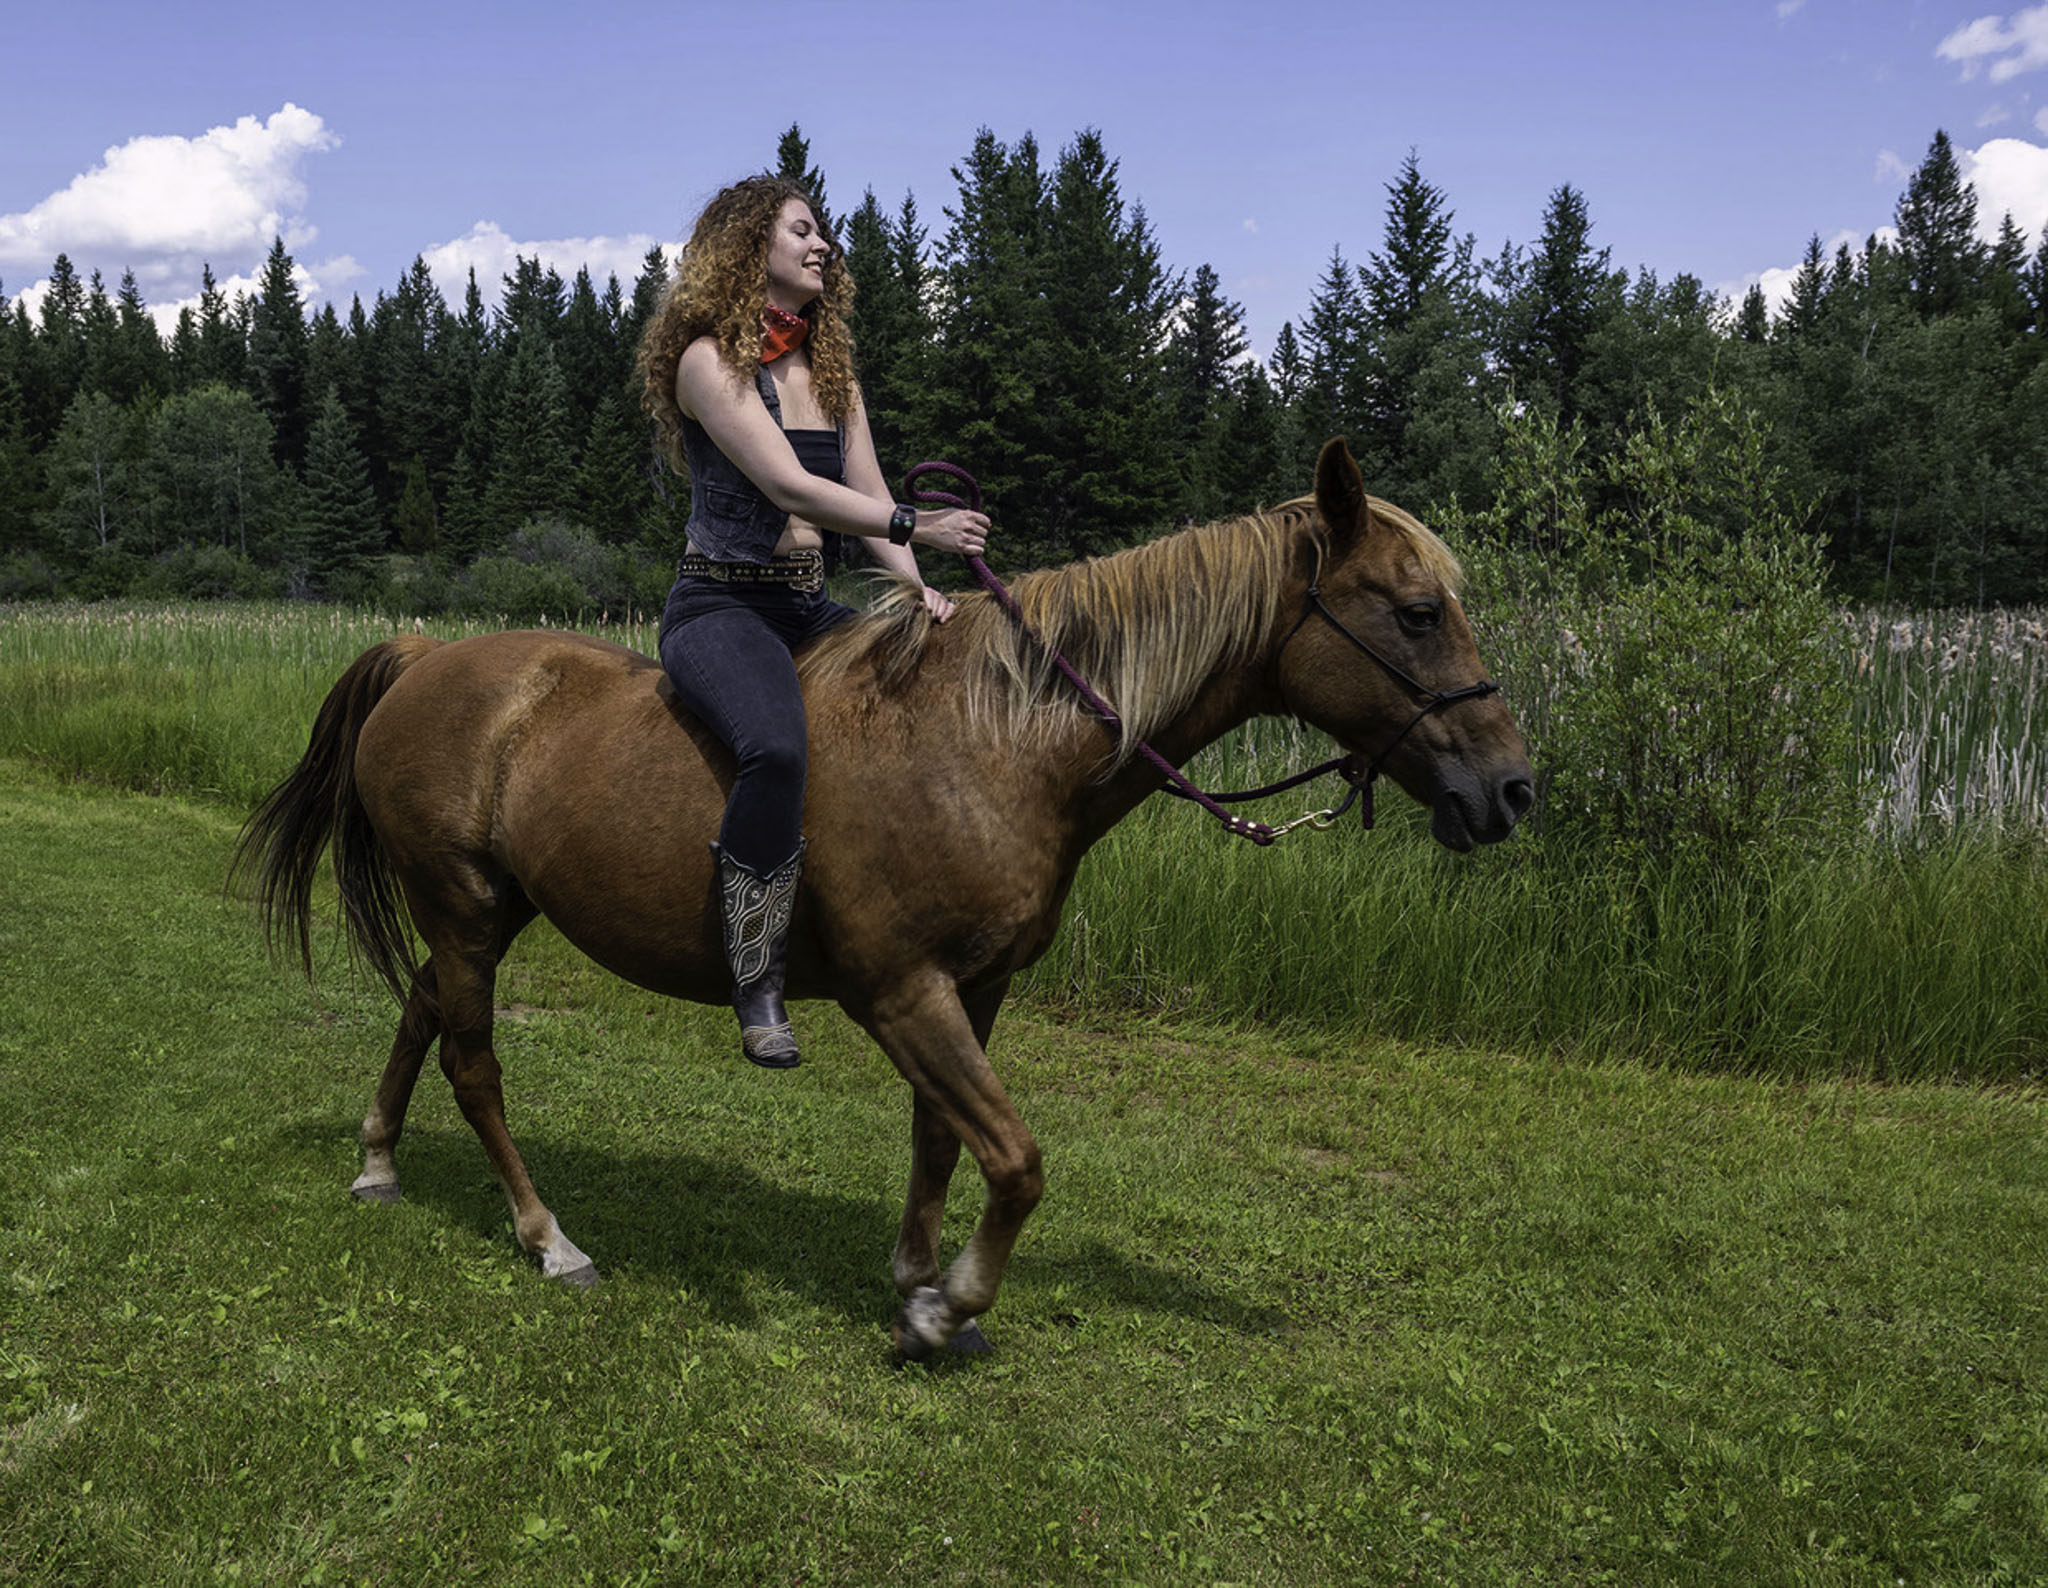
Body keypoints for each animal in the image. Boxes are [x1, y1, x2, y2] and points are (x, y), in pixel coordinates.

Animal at [236, 439, 1533, 1359]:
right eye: (1416, 610)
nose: (1509, 787)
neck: (995, 739)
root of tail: (424, 656)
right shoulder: (902, 990)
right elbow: (1015, 1157)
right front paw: (944, 1307)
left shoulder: (975, 987)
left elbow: (944, 1138)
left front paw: (914, 1277)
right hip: (462, 904)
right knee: (473, 1060)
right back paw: (546, 1237)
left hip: (493, 909)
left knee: (419, 1009)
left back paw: (378, 1160)